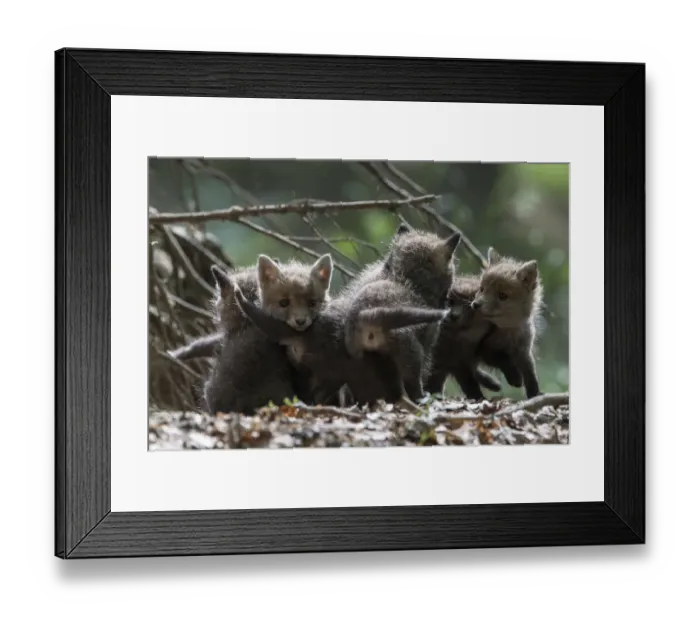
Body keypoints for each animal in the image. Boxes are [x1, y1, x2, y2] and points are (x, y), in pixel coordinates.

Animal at [471, 247, 544, 398]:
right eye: (482, 289)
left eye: (502, 295)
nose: (475, 304)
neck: (509, 331)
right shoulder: (483, 348)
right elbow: (503, 358)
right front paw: (515, 378)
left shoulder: (524, 351)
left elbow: (531, 376)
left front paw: (535, 395)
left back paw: (491, 383)